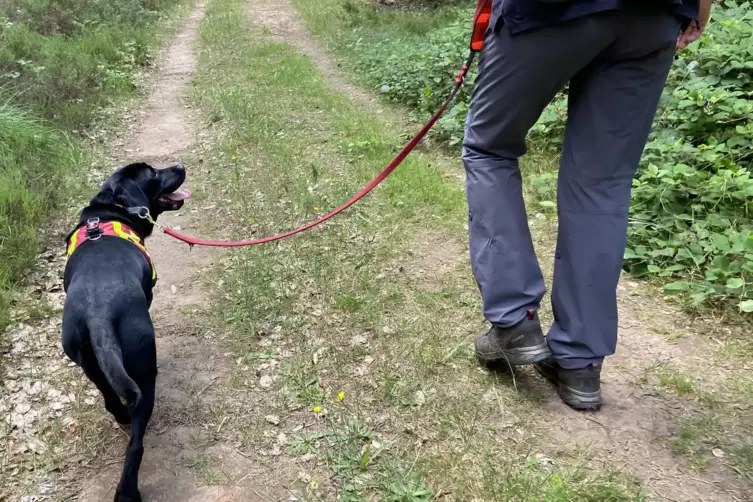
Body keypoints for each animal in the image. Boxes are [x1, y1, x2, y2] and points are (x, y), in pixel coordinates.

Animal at [62, 163, 189, 500]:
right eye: (153, 173)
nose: (180, 166)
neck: (113, 209)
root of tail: (98, 313)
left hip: (90, 364)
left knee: (110, 399)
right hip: (144, 375)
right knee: (136, 445)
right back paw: (128, 491)